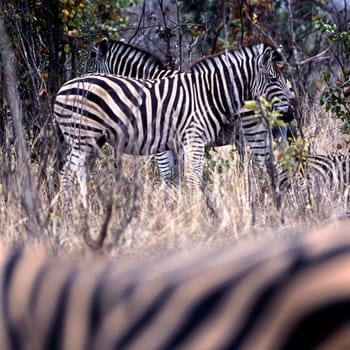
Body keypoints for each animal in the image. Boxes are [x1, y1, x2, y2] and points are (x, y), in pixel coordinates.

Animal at [54, 42, 296, 205]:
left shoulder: (171, 143)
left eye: (91, 62)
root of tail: (61, 89)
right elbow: (174, 178)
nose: (291, 114)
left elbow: (175, 178)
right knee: (69, 173)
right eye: (273, 80)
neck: (211, 92)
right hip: (84, 138)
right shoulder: (171, 143)